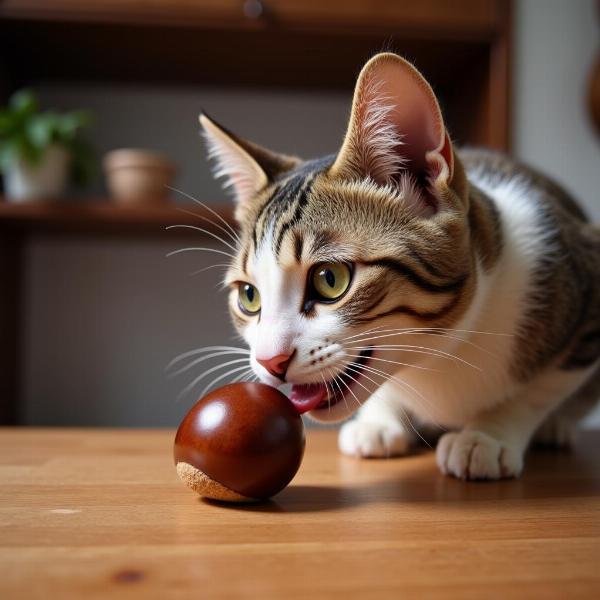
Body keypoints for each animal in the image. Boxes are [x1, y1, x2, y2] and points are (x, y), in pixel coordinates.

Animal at [198, 54, 600, 480]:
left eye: (330, 279)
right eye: (249, 296)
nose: (268, 362)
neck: (438, 355)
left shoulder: (583, 282)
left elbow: (540, 389)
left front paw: (488, 434)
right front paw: (379, 419)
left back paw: (555, 426)